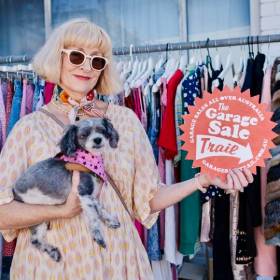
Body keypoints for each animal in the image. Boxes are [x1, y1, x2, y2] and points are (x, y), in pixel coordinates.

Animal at [13, 117, 120, 262]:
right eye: (83, 135)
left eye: (102, 131)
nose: (97, 139)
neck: (89, 160)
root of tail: (14, 191)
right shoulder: (84, 193)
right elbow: (94, 216)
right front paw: (98, 236)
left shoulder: (91, 195)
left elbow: (100, 208)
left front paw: (110, 220)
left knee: (36, 240)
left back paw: (52, 251)